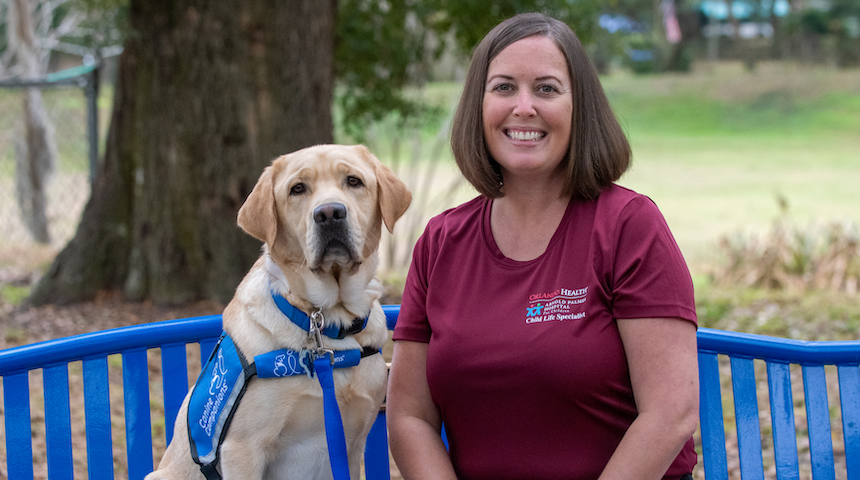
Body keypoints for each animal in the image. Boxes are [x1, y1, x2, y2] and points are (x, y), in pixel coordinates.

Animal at [146, 144, 412, 478]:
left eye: (354, 181)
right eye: (297, 189)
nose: (330, 213)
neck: (326, 322)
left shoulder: (351, 444)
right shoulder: (242, 449)